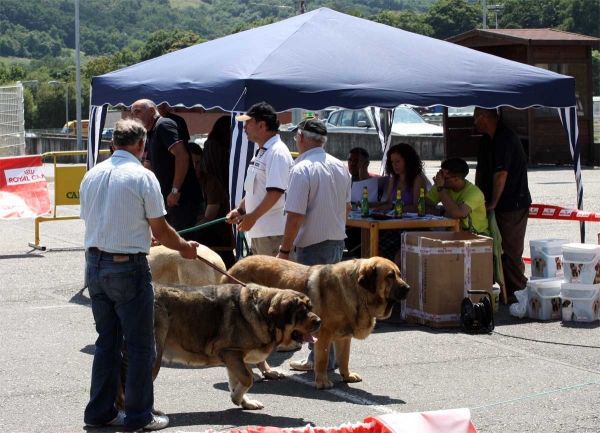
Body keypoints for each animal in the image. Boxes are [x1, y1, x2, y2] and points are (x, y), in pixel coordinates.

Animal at [118, 282, 324, 410]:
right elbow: (248, 379)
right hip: (153, 356)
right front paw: (238, 397)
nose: (319, 321)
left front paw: (242, 401)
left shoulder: (235, 358)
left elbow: (238, 380)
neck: (262, 312)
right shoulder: (230, 353)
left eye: (310, 308)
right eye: (301, 312)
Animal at [225, 255, 408, 390]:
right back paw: (254, 375)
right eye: (390, 276)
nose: (408, 288)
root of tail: (233, 267)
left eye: (399, 274)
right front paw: (322, 381)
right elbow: (323, 360)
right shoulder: (325, 335)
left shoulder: (344, 338)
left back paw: (268, 372)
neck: (358, 291)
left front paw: (347, 376)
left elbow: (344, 358)